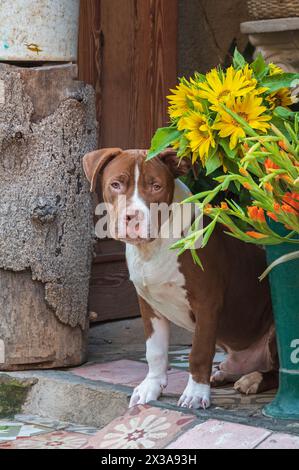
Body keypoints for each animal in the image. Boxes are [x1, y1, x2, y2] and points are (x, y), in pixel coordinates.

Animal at [82, 149, 278, 410]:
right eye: (116, 184)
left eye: (156, 186)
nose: (133, 217)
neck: (153, 247)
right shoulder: (149, 305)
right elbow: (154, 351)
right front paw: (151, 387)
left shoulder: (206, 303)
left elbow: (200, 352)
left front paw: (195, 393)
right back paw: (222, 374)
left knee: (279, 372)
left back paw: (252, 380)